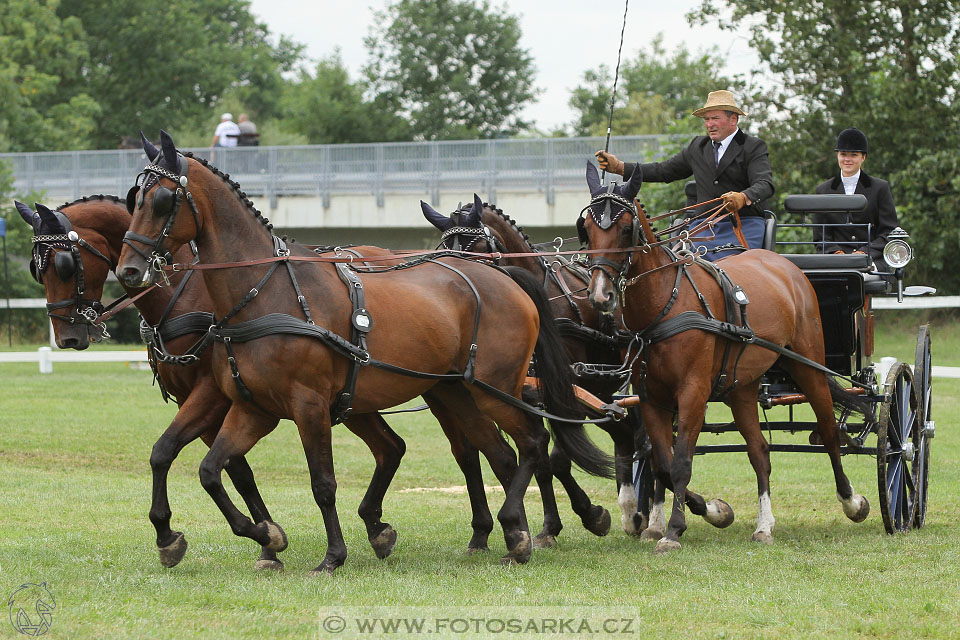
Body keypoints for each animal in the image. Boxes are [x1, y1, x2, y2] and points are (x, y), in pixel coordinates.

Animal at [15, 198, 412, 568]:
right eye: (36, 269)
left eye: (64, 265)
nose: (67, 338)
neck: (183, 292)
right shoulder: (202, 400)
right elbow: (226, 467)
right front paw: (266, 540)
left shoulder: (212, 394)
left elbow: (211, 462)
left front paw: (261, 538)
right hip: (351, 397)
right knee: (390, 447)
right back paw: (376, 528)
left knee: (388, 446)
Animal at [114, 131, 608, 576]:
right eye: (134, 199)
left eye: (162, 201)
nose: (128, 271)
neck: (264, 292)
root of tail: (504, 277)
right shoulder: (250, 407)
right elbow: (203, 467)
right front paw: (257, 534)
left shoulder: (308, 405)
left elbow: (322, 483)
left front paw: (332, 555)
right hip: (455, 393)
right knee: (497, 453)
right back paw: (512, 533)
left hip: (497, 387)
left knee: (534, 443)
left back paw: (523, 527)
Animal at [422, 198, 736, 544]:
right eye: (443, 248)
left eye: (477, 246)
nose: (460, 285)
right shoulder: (532, 395)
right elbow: (541, 459)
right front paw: (551, 526)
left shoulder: (568, 390)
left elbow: (558, 459)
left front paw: (592, 515)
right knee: (629, 436)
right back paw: (634, 512)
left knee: (646, 441)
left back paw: (656, 517)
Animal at [580, 159, 872, 552]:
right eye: (587, 229)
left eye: (627, 229)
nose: (601, 295)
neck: (666, 302)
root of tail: (785, 265)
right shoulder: (651, 397)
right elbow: (661, 463)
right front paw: (698, 515)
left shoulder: (692, 392)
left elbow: (681, 463)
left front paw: (674, 530)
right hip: (741, 386)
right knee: (759, 451)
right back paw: (764, 525)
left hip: (807, 366)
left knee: (828, 432)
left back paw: (852, 502)